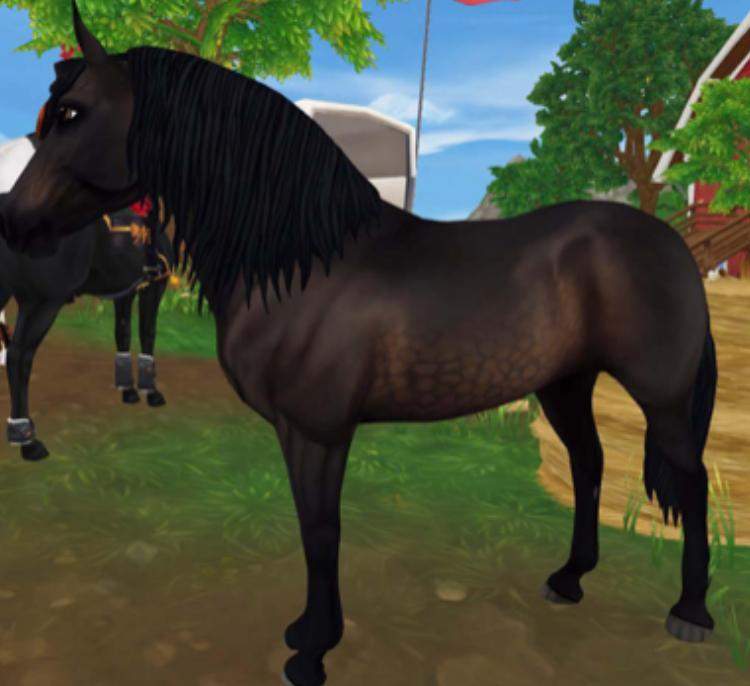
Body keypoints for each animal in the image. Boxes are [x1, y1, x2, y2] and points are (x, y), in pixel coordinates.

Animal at [0, 132, 172, 462]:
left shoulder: (125, 291)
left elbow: (123, 332)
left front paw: (128, 389)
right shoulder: (153, 287)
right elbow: (148, 332)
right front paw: (151, 391)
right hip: (42, 302)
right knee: (19, 357)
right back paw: (27, 439)